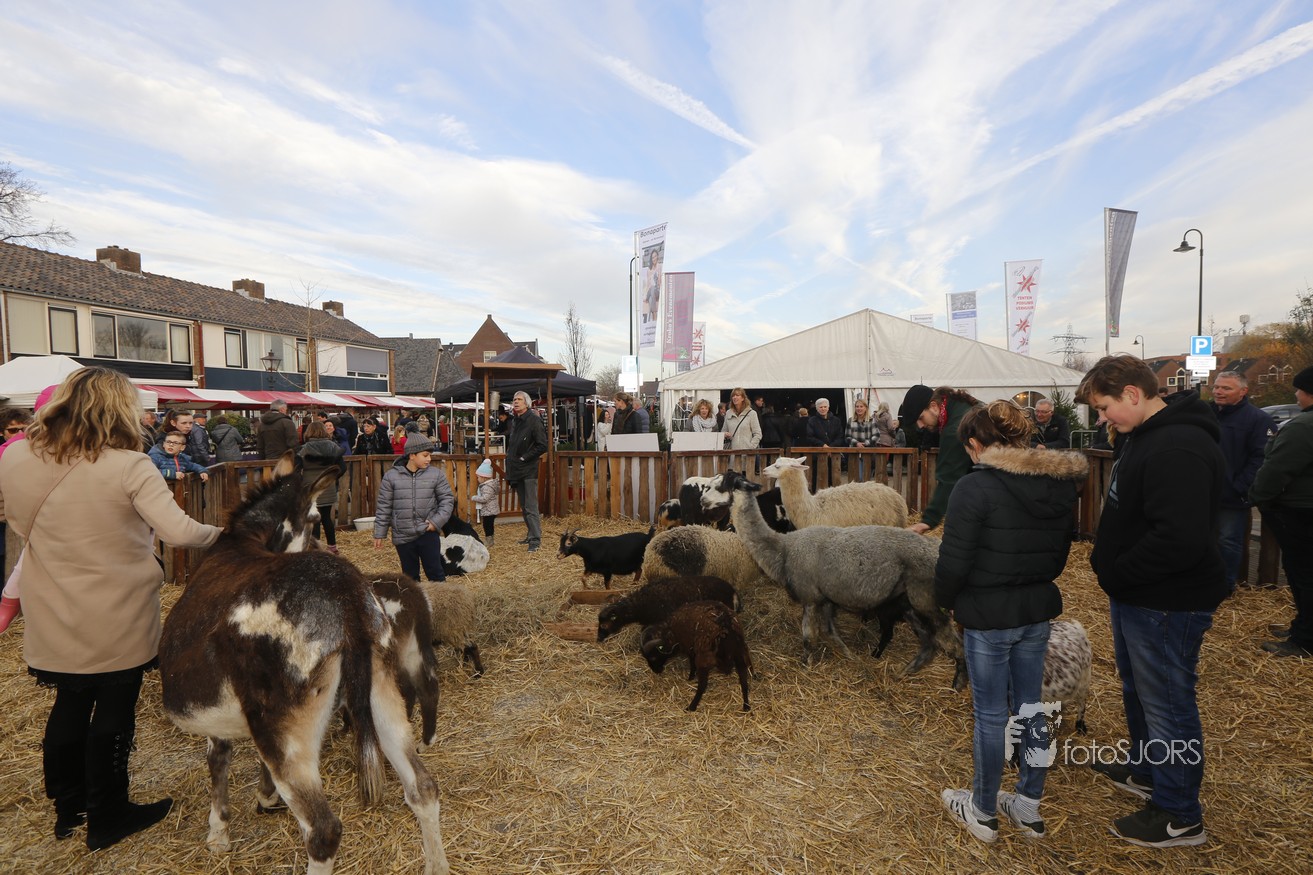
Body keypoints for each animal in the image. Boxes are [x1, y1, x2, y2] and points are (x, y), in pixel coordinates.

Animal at [159, 453, 449, 875]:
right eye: (315, 519)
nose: (330, 549)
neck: (244, 543)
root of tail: (345, 597)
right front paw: (264, 796)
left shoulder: (225, 723)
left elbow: (218, 763)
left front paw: (219, 834)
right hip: (382, 691)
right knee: (423, 787)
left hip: (286, 728)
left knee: (323, 830)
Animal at [718, 469, 964, 685]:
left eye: (722, 482)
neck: (784, 548)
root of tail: (935, 549)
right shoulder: (825, 598)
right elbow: (830, 632)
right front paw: (849, 655)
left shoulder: (810, 596)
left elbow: (809, 636)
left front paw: (806, 664)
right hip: (907, 601)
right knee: (929, 642)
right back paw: (905, 671)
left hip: (925, 598)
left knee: (948, 637)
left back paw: (959, 681)